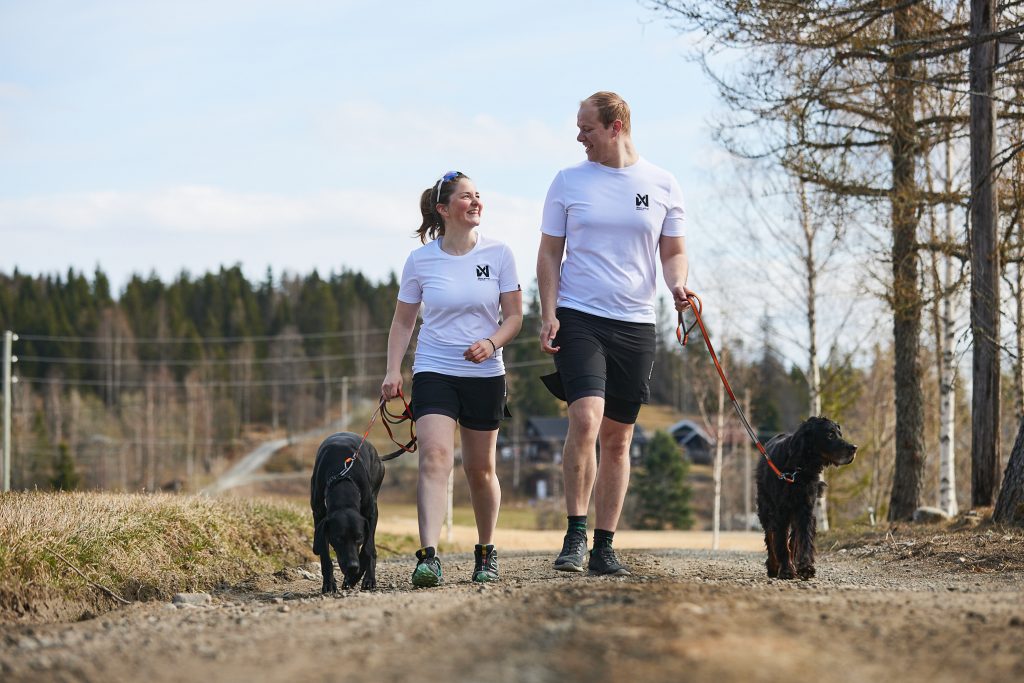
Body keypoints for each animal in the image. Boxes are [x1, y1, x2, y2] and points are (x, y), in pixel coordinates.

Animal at [309, 432, 385, 593]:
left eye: (359, 537)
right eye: (338, 538)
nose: (352, 567)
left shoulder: (370, 515)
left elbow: (367, 549)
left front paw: (356, 577)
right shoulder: (318, 515)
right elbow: (324, 552)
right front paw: (329, 583)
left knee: (372, 548)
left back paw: (367, 578)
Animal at [753, 417, 856, 581]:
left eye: (840, 434)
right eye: (830, 435)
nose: (854, 448)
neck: (799, 469)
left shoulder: (805, 510)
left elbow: (803, 539)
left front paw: (805, 568)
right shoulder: (781, 512)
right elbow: (780, 542)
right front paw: (786, 570)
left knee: (793, 539)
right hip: (765, 507)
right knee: (770, 534)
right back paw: (774, 566)